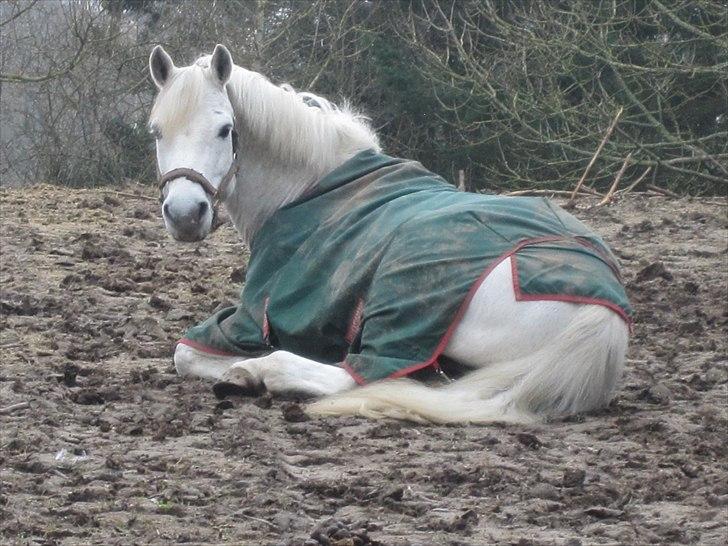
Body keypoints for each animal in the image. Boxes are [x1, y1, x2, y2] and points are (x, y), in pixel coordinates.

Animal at [148, 44, 632, 422]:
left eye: (225, 129)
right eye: (156, 132)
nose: (185, 214)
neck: (308, 189)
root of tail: (602, 312)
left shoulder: (256, 314)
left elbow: (185, 352)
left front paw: (240, 368)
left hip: (402, 308)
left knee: (356, 374)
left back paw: (255, 372)